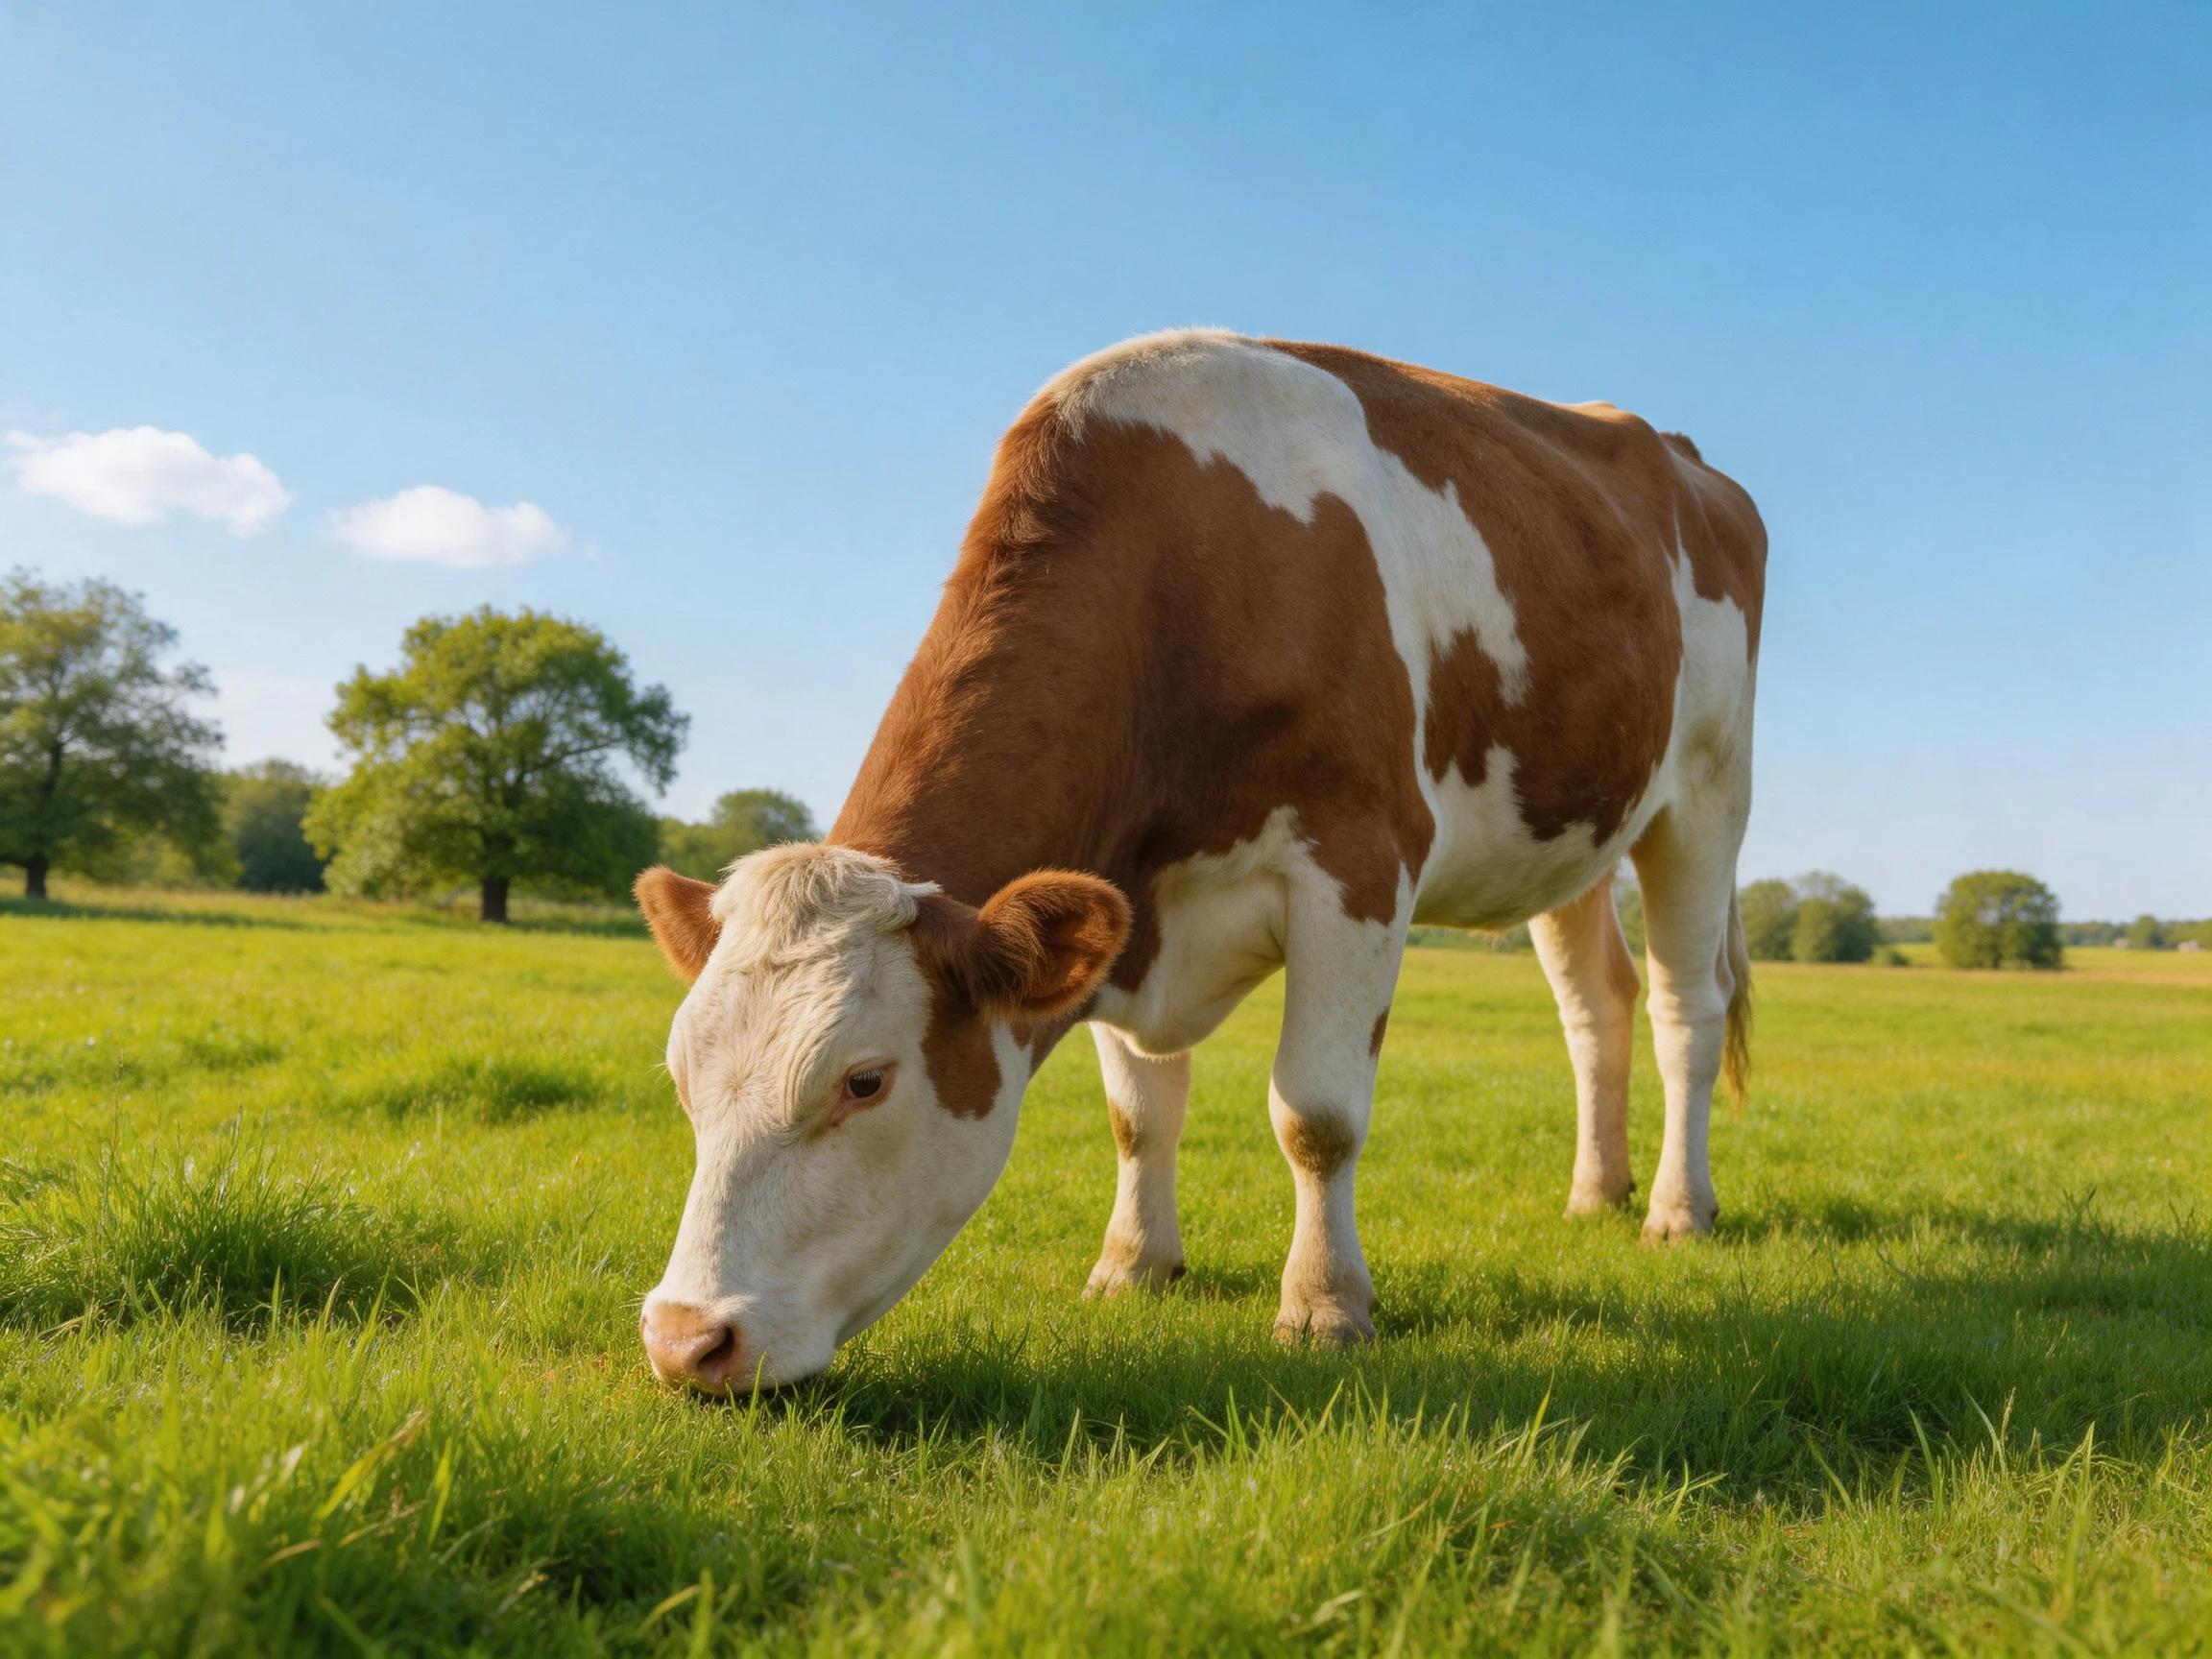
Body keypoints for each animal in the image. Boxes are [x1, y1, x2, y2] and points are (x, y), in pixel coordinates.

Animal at [633, 330, 1765, 1391]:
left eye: (864, 1081)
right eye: (682, 1075)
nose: (686, 1341)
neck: (1189, 574)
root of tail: (1678, 454)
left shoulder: (1360, 859)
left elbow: (1316, 1115)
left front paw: (1325, 1307)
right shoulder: (1122, 901)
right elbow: (1138, 1115)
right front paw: (1133, 1264)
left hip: (1707, 796)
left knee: (1686, 1009)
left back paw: (1677, 1209)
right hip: (1574, 830)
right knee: (1597, 1005)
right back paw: (1595, 1194)